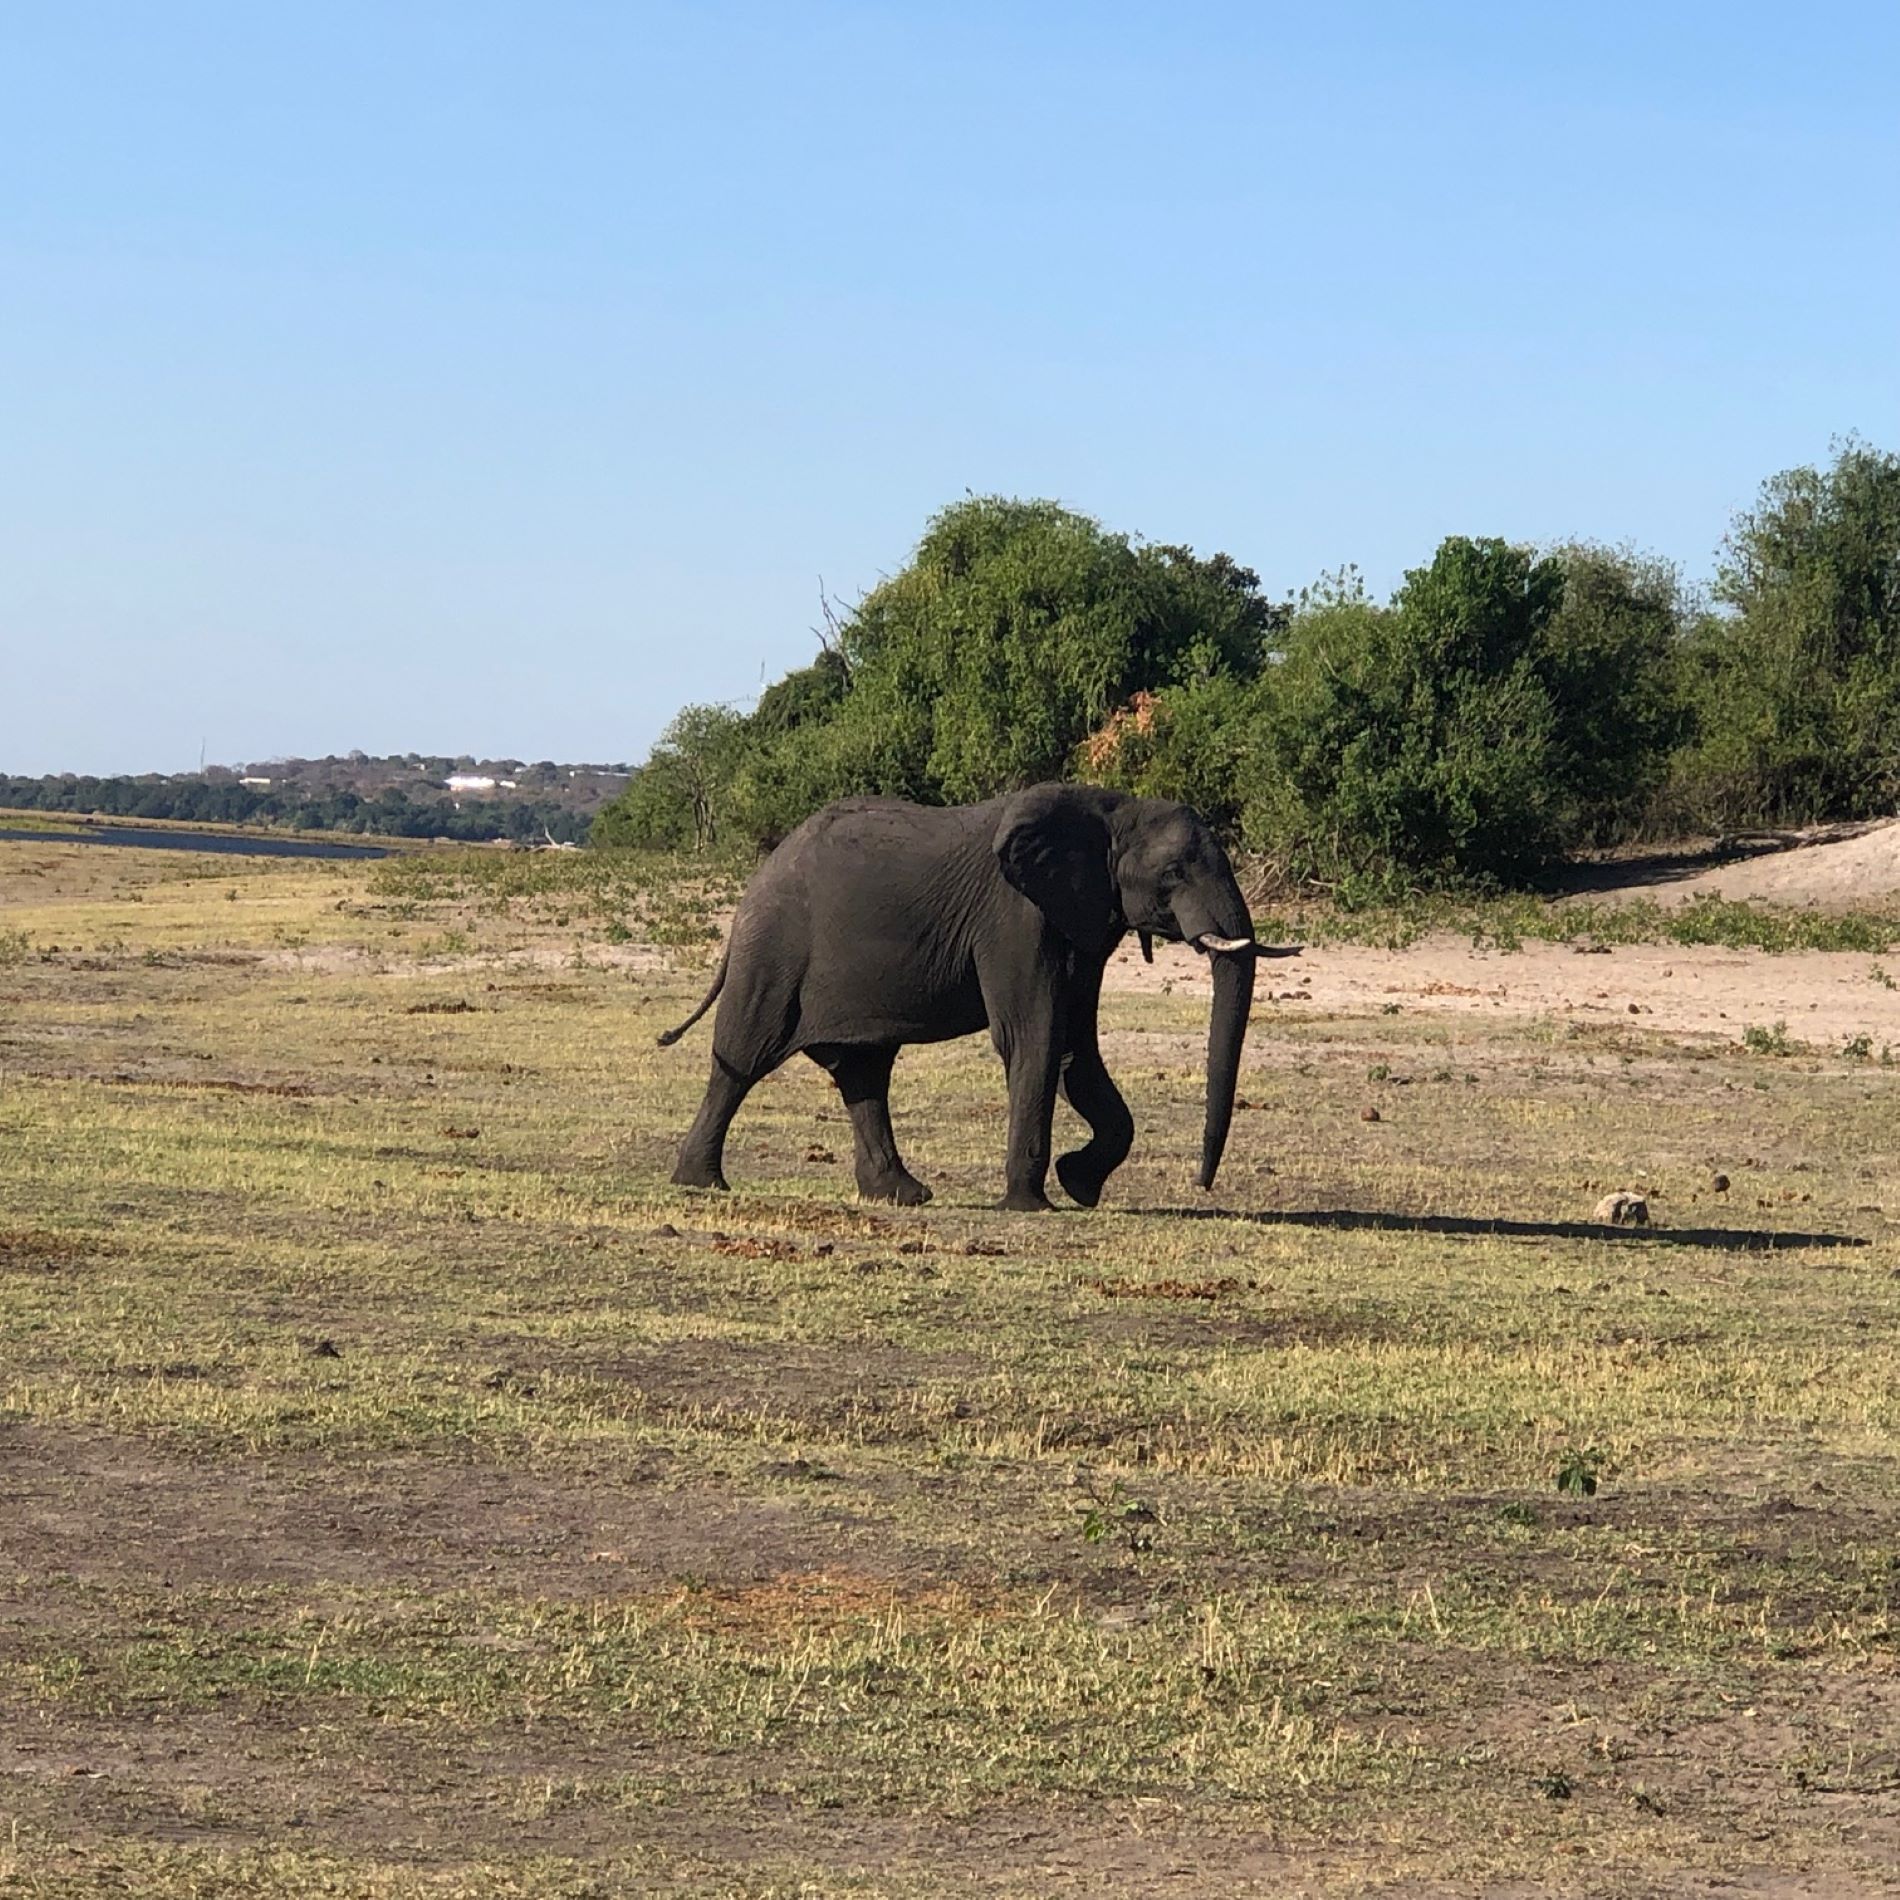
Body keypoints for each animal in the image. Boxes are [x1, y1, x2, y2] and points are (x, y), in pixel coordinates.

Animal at [653, 779, 1292, 1208]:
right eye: (1173, 875)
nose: (1201, 1184)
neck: (1113, 808)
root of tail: (755, 880)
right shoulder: (1014, 916)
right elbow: (1035, 1036)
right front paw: (1032, 1205)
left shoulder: (1081, 920)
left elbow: (1077, 1047)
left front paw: (1078, 1184)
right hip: (773, 949)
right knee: (745, 1055)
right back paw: (702, 1183)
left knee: (863, 1072)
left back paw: (902, 1195)